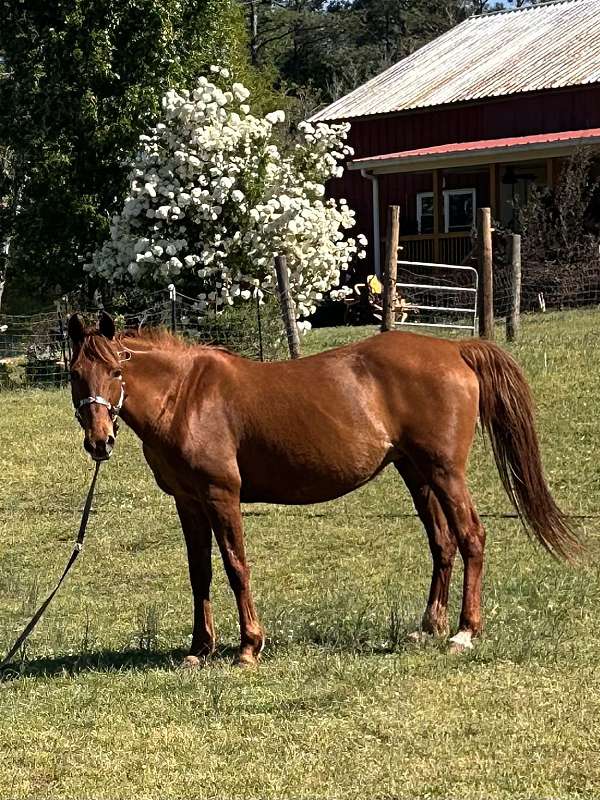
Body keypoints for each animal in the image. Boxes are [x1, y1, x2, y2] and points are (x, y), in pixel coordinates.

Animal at [67, 311, 579, 666]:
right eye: (76, 375)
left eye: (116, 372)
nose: (99, 442)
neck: (185, 396)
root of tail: (454, 350)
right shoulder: (189, 503)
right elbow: (200, 574)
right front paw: (200, 648)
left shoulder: (220, 496)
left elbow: (235, 567)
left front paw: (248, 646)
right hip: (416, 473)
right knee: (442, 542)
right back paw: (429, 627)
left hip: (446, 471)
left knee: (472, 536)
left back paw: (464, 632)